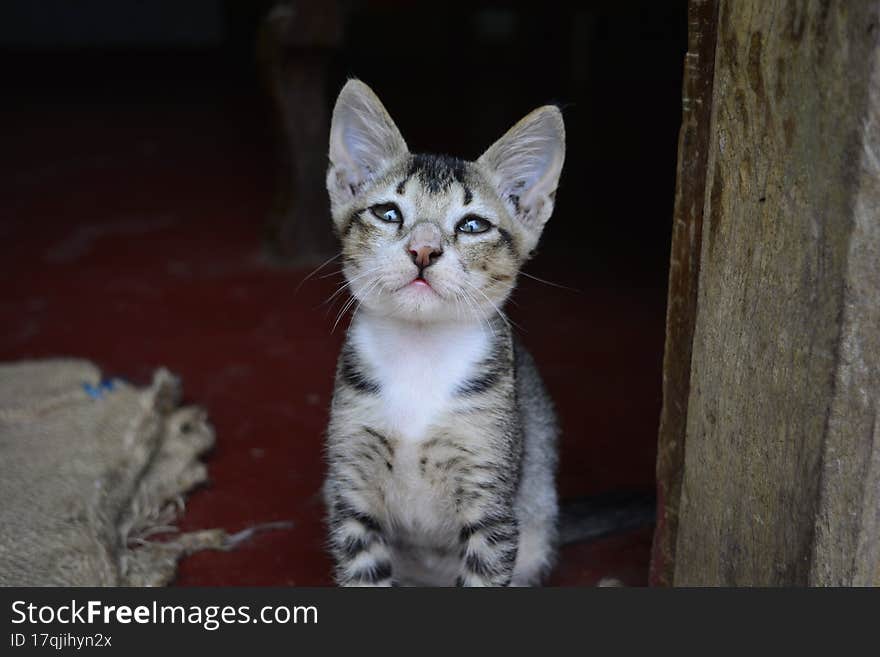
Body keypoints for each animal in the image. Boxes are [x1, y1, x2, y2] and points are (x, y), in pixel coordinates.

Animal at [322, 78, 564, 584]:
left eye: (473, 225)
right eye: (388, 213)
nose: (423, 250)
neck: (419, 354)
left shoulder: (492, 507)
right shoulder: (351, 494)